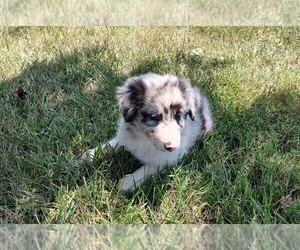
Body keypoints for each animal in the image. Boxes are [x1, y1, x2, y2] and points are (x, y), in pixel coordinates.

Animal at [81, 73, 213, 192]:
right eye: (153, 117)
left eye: (178, 116)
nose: (172, 147)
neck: (145, 139)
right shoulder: (126, 138)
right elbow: (113, 144)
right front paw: (90, 155)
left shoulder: (169, 157)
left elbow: (150, 167)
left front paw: (129, 181)